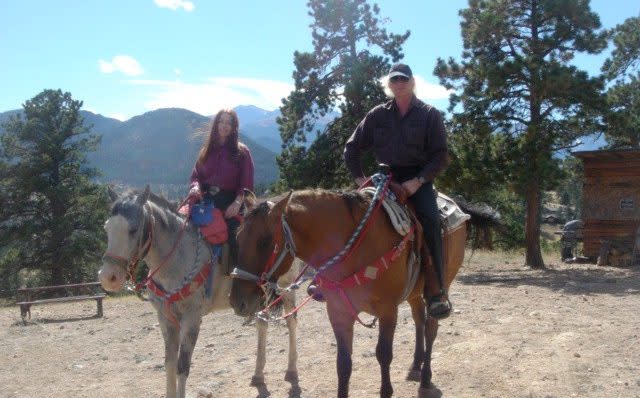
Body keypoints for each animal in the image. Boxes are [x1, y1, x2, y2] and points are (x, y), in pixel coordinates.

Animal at [99, 187, 300, 398]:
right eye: (106, 228)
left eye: (133, 229)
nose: (107, 277)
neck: (177, 259)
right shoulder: (165, 318)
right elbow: (169, 365)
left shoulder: (192, 318)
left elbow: (182, 367)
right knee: (262, 324)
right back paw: (258, 375)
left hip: (286, 287)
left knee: (291, 321)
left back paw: (291, 371)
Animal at [228, 185, 468, 396]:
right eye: (238, 237)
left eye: (265, 241)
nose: (238, 302)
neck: (355, 248)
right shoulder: (338, 311)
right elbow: (343, 363)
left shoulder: (388, 311)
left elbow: (383, 354)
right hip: (414, 292)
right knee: (419, 319)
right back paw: (415, 367)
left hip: (439, 286)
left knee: (431, 327)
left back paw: (426, 377)